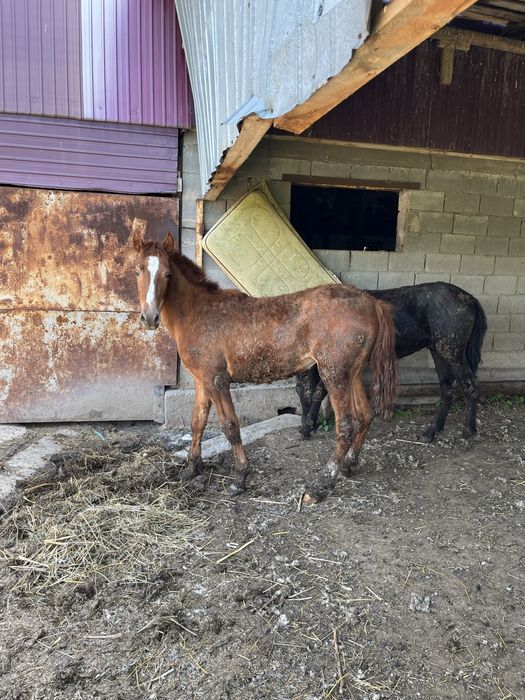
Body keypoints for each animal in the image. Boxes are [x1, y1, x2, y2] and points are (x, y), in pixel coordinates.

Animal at [133, 231, 398, 503]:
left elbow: (230, 426)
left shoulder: (217, 380)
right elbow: (198, 421)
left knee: (345, 426)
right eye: (138, 270)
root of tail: (371, 303)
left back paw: (320, 486)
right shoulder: (201, 381)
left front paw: (240, 478)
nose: (149, 318)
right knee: (364, 416)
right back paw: (348, 465)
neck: (198, 313)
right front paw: (191, 469)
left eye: (167, 274)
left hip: (334, 375)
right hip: (352, 374)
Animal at [296, 282, 487, 443]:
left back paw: (468, 431)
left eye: (299, 389)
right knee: (448, 387)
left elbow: (319, 392)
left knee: (470, 384)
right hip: (439, 351)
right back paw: (432, 431)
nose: (302, 423)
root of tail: (471, 299)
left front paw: (307, 428)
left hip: (452, 352)